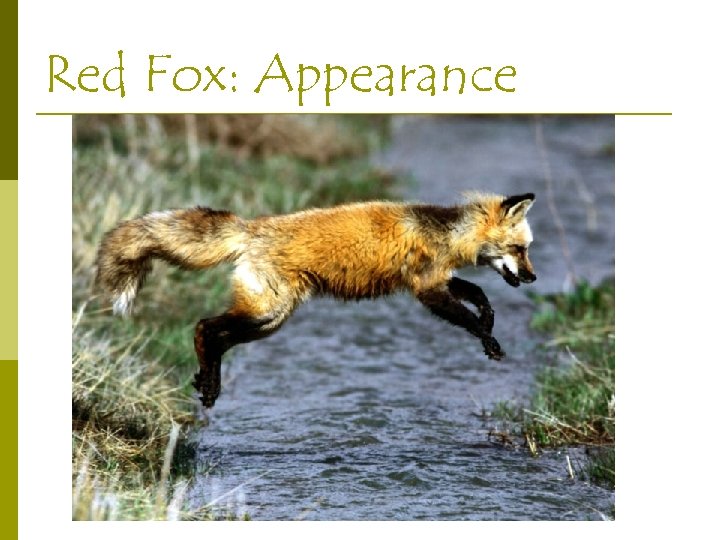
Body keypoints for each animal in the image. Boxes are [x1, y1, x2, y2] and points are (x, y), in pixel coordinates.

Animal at [95, 192, 536, 408]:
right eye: (519, 249)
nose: (533, 277)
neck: (444, 234)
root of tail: (252, 227)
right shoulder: (426, 288)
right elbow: (469, 317)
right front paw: (489, 339)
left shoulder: (438, 280)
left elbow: (479, 295)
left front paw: (490, 322)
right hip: (268, 310)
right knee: (205, 327)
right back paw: (209, 383)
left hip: (270, 320)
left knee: (217, 336)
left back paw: (208, 382)